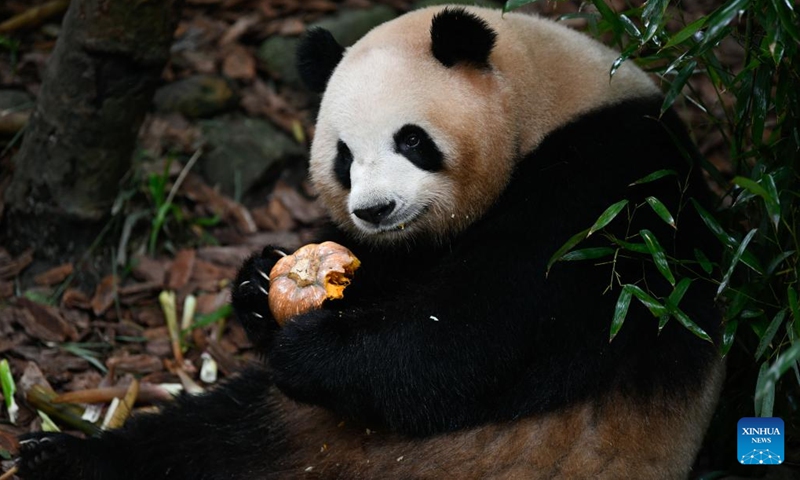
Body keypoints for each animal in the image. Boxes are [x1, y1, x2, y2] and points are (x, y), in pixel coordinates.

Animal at [16, 5, 723, 479]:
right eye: (344, 157)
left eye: (411, 139)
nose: (375, 209)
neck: (545, 100)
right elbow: (387, 279)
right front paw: (259, 285)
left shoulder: (609, 193)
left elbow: (480, 329)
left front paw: (311, 349)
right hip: (287, 427)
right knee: (197, 439)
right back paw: (58, 458)